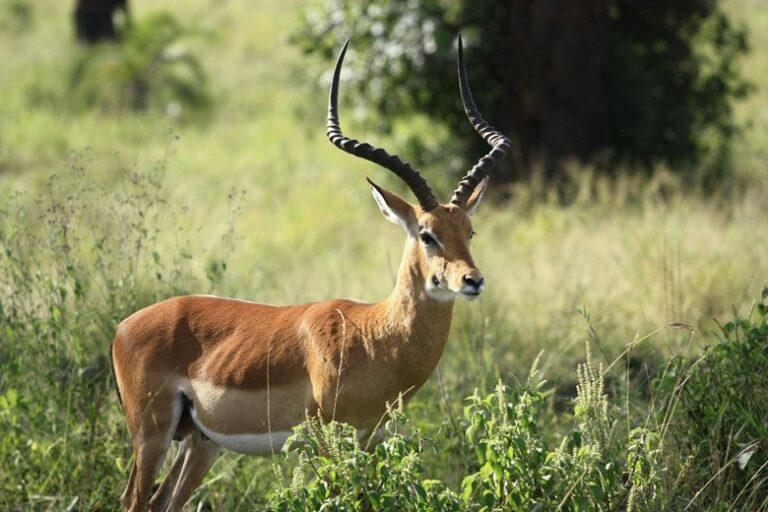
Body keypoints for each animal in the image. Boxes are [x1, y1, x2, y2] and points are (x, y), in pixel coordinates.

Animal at [111, 35, 510, 512]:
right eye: (427, 235)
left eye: (469, 230)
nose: (473, 280)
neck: (374, 334)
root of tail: (123, 326)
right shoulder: (328, 442)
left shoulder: (369, 440)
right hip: (151, 435)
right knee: (134, 500)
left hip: (200, 442)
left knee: (163, 501)